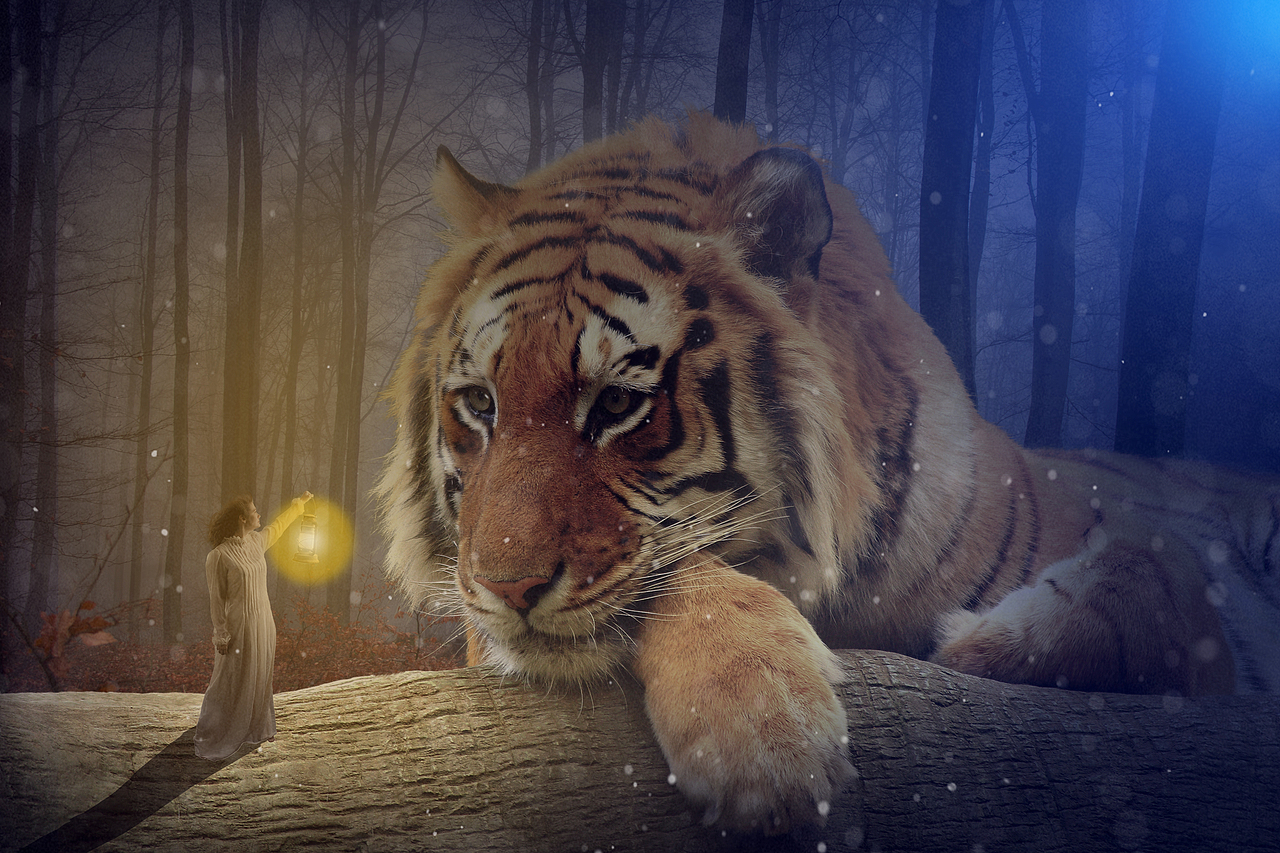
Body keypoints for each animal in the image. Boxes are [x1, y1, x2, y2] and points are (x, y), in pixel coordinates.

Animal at [377, 113, 1280, 834]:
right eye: (480, 403)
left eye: (618, 404)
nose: (506, 586)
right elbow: (684, 571)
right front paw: (766, 737)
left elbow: (1156, 574)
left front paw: (985, 641)